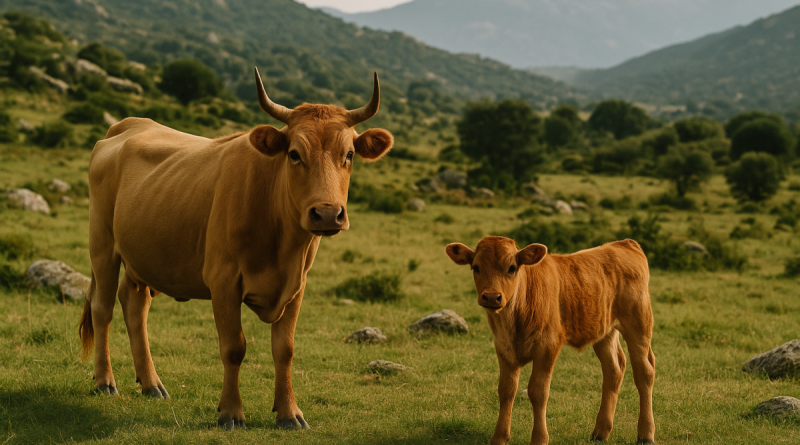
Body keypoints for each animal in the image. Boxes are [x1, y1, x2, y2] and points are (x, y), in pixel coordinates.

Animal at [78, 68, 393, 430]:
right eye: (294, 154)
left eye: (349, 155)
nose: (328, 213)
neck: (281, 243)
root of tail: (126, 126)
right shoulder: (224, 281)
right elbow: (233, 347)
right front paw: (231, 412)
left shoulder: (297, 287)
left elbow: (284, 349)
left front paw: (290, 413)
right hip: (102, 245)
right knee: (102, 308)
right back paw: (105, 381)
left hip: (141, 256)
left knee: (135, 306)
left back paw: (152, 384)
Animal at [445, 237, 655, 445]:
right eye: (476, 267)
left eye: (512, 268)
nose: (491, 296)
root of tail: (624, 243)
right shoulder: (503, 347)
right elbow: (506, 390)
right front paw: (499, 437)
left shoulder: (548, 346)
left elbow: (538, 391)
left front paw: (539, 438)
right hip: (605, 330)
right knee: (613, 369)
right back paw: (600, 432)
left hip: (639, 324)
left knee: (644, 372)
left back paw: (645, 434)